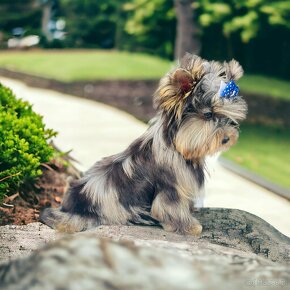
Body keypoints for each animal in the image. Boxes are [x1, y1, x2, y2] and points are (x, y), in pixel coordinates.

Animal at [40, 53, 248, 236]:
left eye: (227, 117)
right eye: (208, 115)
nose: (227, 138)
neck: (176, 146)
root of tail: (69, 208)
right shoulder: (170, 188)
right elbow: (170, 208)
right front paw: (189, 227)